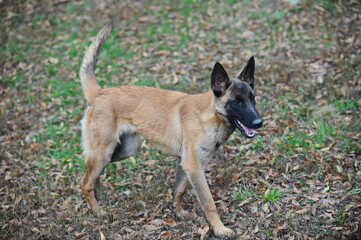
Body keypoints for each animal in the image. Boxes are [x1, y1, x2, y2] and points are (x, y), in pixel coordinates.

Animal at [78, 21, 262, 237]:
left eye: (252, 99)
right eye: (237, 102)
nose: (258, 123)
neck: (211, 115)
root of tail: (100, 93)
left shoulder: (186, 164)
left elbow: (179, 190)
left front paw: (178, 212)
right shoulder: (194, 167)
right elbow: (208, 202)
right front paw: (219, 229)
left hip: (123, 150)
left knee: (92, 175)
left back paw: (98, 199)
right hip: (104, 152)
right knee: (85, 181)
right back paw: (98, 211)